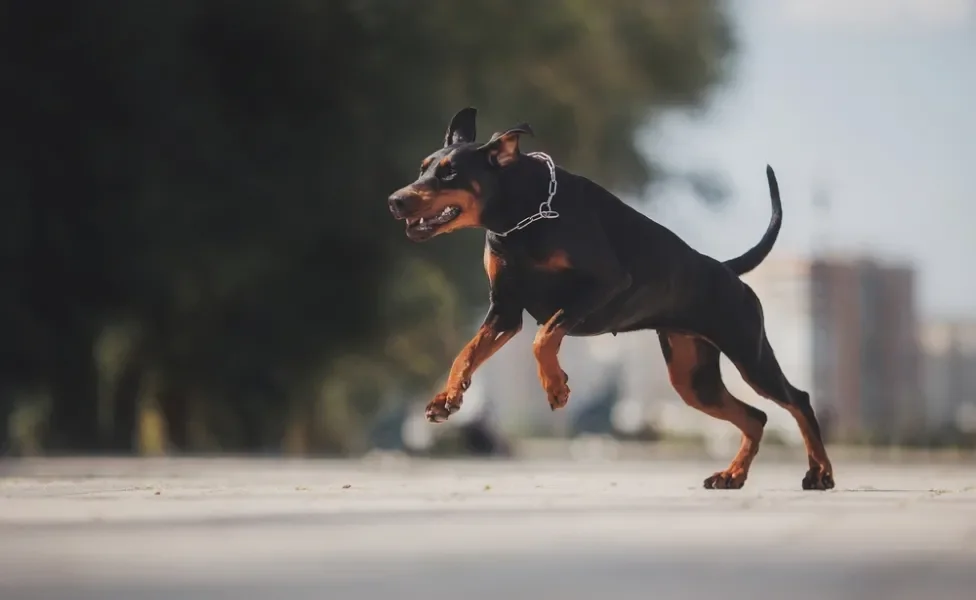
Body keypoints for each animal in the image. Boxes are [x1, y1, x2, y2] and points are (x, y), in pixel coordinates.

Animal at [386, 109, 836, 492]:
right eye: (424, 168)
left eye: (450, 173)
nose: (395, 201)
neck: (521, 215)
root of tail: (728, 270)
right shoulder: (505, 311)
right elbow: (467, 352)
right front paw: (447, 399)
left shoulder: (604, 285)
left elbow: (544, 338)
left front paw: (556, 387)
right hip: (692, 379)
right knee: (756, 416)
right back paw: (732, 475)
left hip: (749, 354)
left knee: (798, 400)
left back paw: (820, 473)